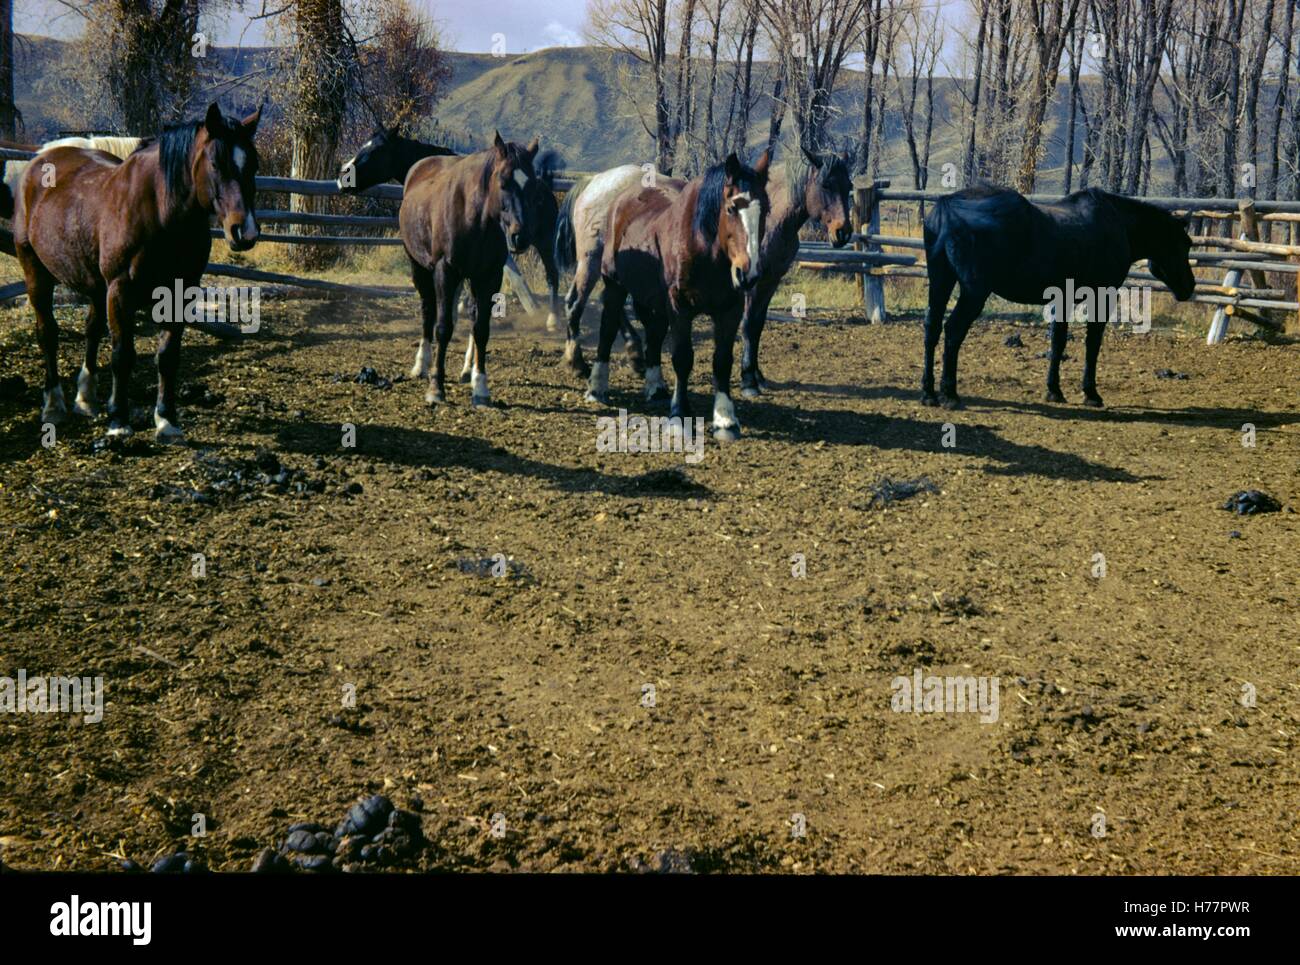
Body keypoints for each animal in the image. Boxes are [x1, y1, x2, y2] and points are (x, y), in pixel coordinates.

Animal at [11, 104, 261, 444]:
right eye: (215, 162)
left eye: (254, 165)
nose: (244, 232)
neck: (159, 213)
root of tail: (38, 161)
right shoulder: (120, 290)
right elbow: (122, 355)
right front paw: (118, 420)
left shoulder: (179, 293)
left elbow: (167, 356)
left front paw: (167, 420)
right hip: (35, 270)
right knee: (47, 333)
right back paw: (53, 405)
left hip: (94, 285)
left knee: (91, 330)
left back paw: (85, 399)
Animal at [395, 129, 538, 408]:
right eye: (503, 181)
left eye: (532, 185)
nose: (520, 237)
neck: (475, 217)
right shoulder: (445, 271)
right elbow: (442, 328)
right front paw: (436, 388)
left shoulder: (489, 276)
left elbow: (480, 329)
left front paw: (480, 388)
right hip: (419, 267)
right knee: (428, 311)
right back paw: (421, 365)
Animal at [592, 150, 769, 442]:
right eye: (731, 208)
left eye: (765, 210)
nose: (748, 272)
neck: (705, 250)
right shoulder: (679, 305)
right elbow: (682, 358)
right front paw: (679, 415)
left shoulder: (729, 310)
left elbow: (722, 361)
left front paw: (725, 420)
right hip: (614, 285)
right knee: (607, 330)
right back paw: (596, 387)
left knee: (654, 335)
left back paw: (656, 388)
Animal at [920, 184, 1190, 408]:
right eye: (1185, 243)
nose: (1189, 287)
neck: (1117, 225)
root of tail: (947, 207)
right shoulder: (1101, 297)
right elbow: (1092, 344)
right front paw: (1091, 393)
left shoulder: (1063, 298)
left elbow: (1058, 342)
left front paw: (1054, 390)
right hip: (974, 292)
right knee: (953, 331)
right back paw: (949, 394)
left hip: (941, 282)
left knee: (932, 328)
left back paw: (929, 393)